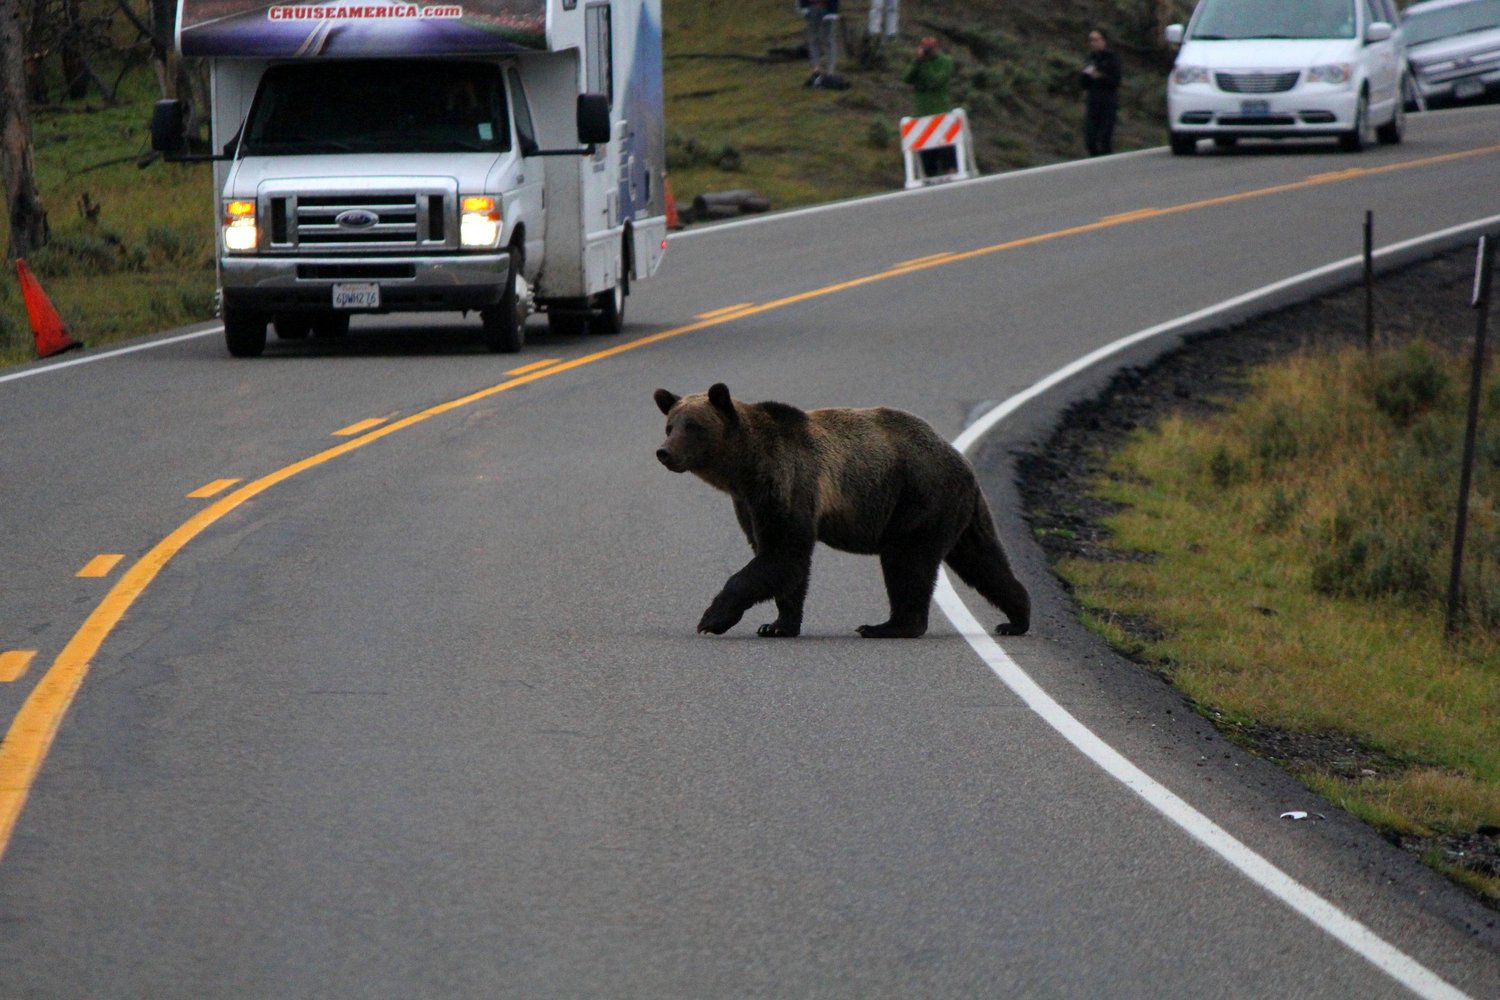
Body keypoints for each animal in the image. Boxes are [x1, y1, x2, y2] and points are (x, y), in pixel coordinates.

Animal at [654, 383, 1030, 638]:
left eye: (693, 426)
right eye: (670, 425)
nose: (664, 452)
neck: (744, 468)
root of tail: (962, 461)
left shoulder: (788, 485)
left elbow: (782, 555)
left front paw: (711, 618)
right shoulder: (750, 503)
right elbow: (783, 562)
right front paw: (777, 624)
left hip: (917, 499)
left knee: (906, 562)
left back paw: (887, 626)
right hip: (959, 511)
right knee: (982, 560)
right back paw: (1016, 617)